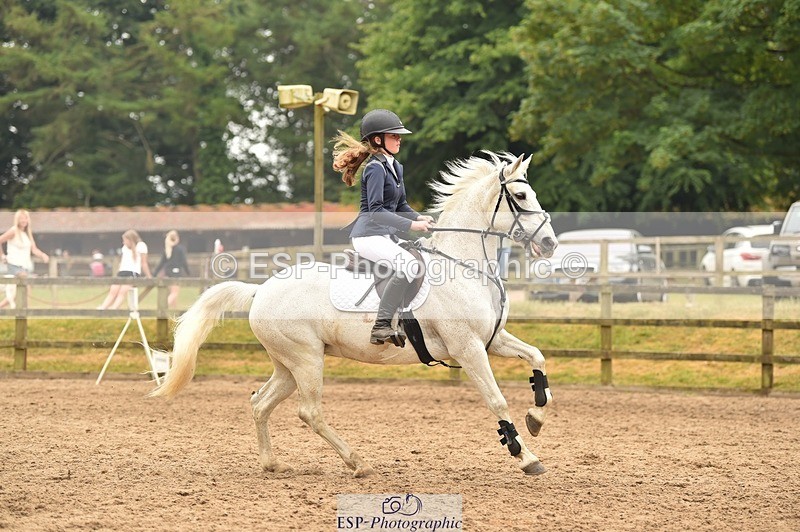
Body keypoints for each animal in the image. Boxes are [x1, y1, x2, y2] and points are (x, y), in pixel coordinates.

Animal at [149, 151, 558, 476]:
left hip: (288, 364)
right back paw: (357, 462)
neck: (463, 265)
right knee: (309, 412)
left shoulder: (492, 340)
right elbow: (497, 400)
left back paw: (272, 463)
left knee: (260, 402)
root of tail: (261, 290)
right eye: (521, 195)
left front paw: (537, 416)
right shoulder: (468, 348)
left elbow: (537, 357)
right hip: (307, 359)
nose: (550, 243)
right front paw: (525, 456)